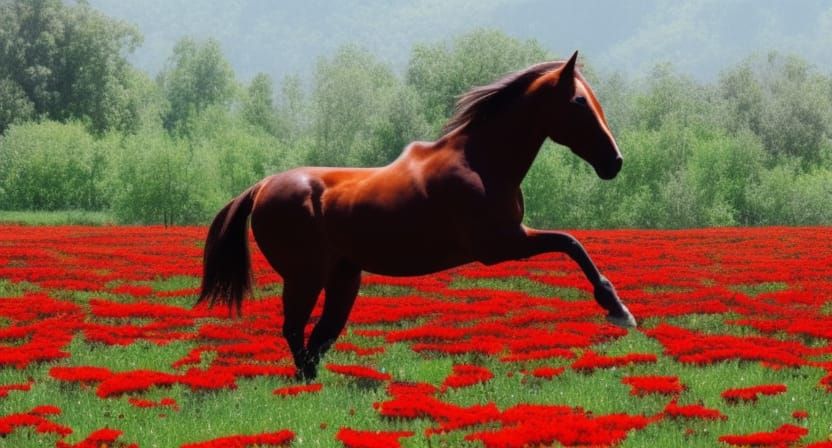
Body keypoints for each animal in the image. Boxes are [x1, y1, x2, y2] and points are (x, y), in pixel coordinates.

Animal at [198, 51, 636, 380]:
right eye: (579, 101)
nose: (614, 162)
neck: (481, 162)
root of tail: (263, 186)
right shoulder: (502, 244)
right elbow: (571, 243)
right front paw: (619, 310)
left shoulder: (514, 236)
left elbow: (571, 243)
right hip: (305, 277)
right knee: (296, 332)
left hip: (344, 278)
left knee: (319, 338)